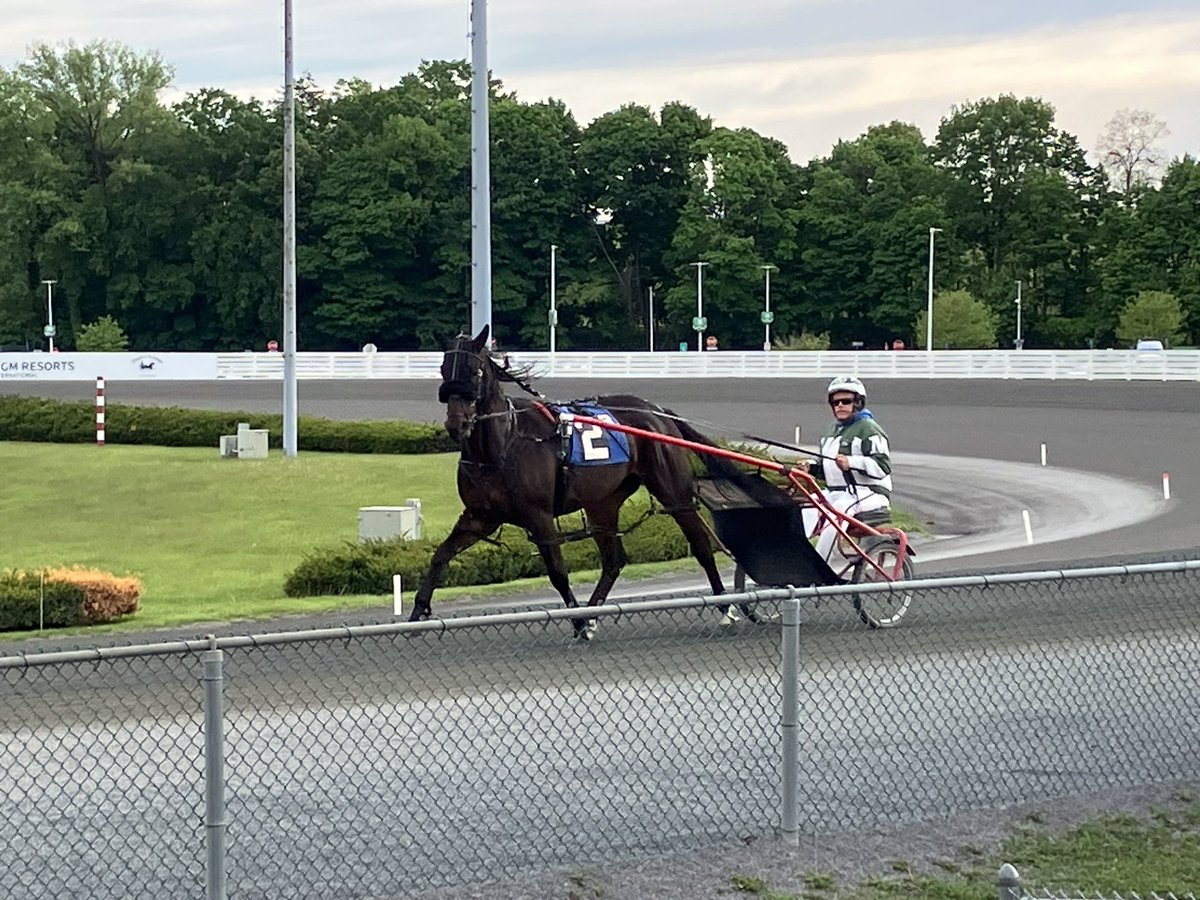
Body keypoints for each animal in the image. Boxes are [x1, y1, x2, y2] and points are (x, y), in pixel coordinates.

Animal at [410, 328, 729, 638]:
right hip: (603, 504)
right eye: (443, 370)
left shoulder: (539, 517)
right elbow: (440, 556)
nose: (457, 424)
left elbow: (557, 573)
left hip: (673, 491)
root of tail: (657, 411)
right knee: (613, 562)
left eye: (473, 371)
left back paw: (727, 607)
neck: (504, 443)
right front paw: (418, 611)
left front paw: (575, 621)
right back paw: (592, 615)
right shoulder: (479, 517)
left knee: (701, 544)